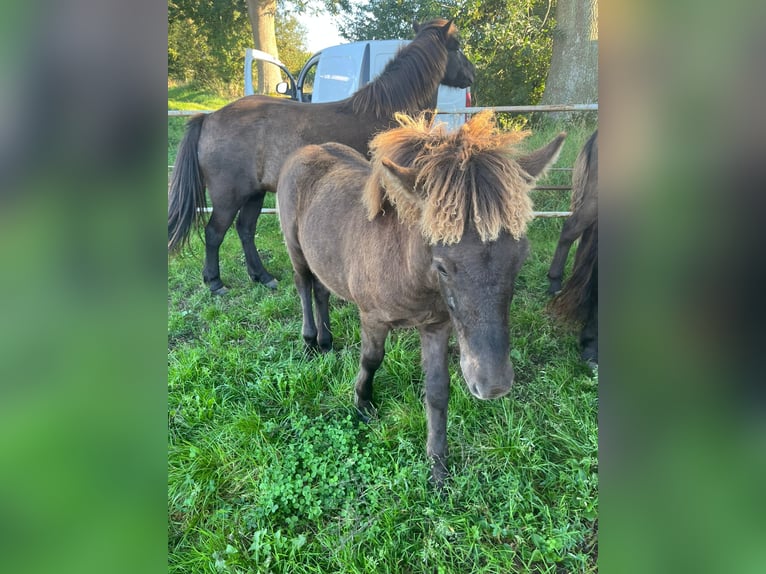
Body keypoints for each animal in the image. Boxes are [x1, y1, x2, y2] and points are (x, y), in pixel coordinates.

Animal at [168, 19, 475, 295]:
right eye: (457, 46)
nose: (472, 73)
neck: (389, 110)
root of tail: (209, 118)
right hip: (228, 195)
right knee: (214, 233)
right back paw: (216, 283)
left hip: (255, 192)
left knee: (245, 229)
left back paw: (263, 277)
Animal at [277, 110, 566, 486]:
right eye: (442, 265)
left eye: (520, 257)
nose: (492, 386)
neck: (408, 269)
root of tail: (303, 152)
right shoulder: (372, 318)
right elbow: (371, 360)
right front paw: (362, 405)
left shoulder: (437, 326)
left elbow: (438, 389)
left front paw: (438, 466)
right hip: (296, 250)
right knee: (303, 285)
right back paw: (311, 341)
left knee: (322, 290)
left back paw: (326, 341)